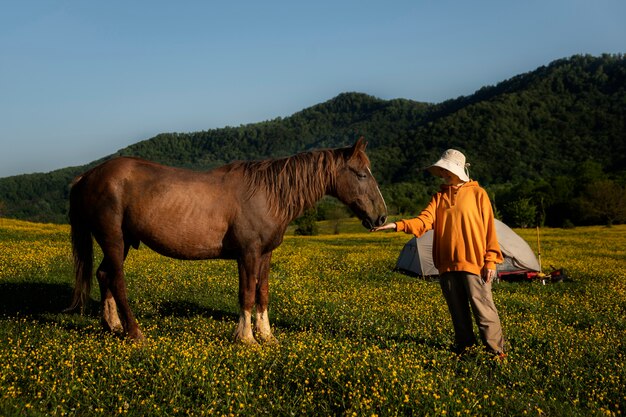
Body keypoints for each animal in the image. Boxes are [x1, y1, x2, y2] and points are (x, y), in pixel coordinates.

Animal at [70, 138, 388, 342]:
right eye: (361, 174)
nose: (381, 217)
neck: (267, 194)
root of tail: (88, 175)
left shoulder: (265, 254)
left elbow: (262, 293)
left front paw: (267, 336)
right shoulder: (247, 254)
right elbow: (246, 294)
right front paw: (246, 338)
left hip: (121, 242)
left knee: (104, 275)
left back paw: (112, 326)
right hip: (113, 239)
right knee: (117, 280)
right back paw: (134, 332)